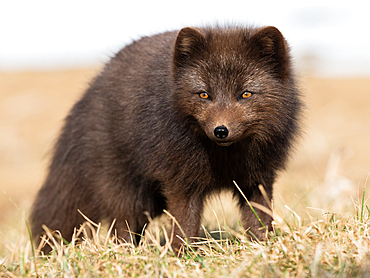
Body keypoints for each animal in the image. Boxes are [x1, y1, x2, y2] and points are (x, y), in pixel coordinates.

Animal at [30, 25, 302, 253]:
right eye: (204, 94)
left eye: (245, 94)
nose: (220, 130)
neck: (225, 157)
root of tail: (88, 94)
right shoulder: (180, 181)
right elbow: (184, 222)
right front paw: (181, 255)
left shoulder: (258, 179)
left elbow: (259, 218)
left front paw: (263, 248)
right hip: (126, 189)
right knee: (122, 226)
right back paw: (126, 255)